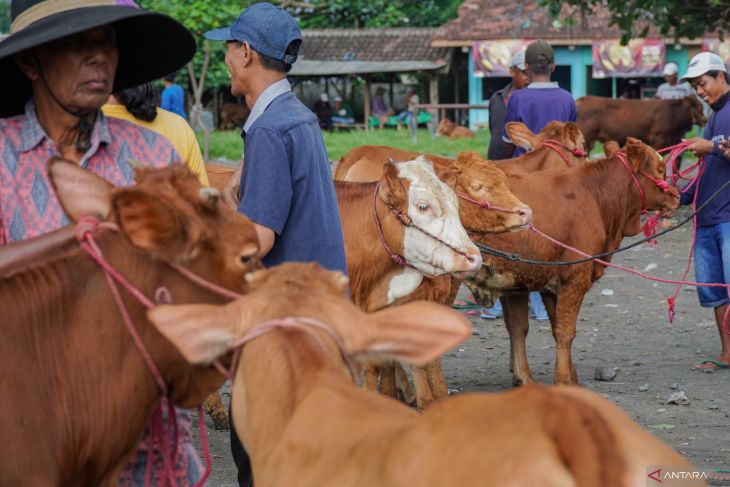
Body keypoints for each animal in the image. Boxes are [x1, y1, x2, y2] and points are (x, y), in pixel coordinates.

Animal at [464, 139, 680, 386]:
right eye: (660, 169)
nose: (677, 195)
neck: (594, 196)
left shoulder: (539, 282)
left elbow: (535, 328)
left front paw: (560, 378)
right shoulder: (574, 277)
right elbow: (565, 331)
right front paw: (561, 381)